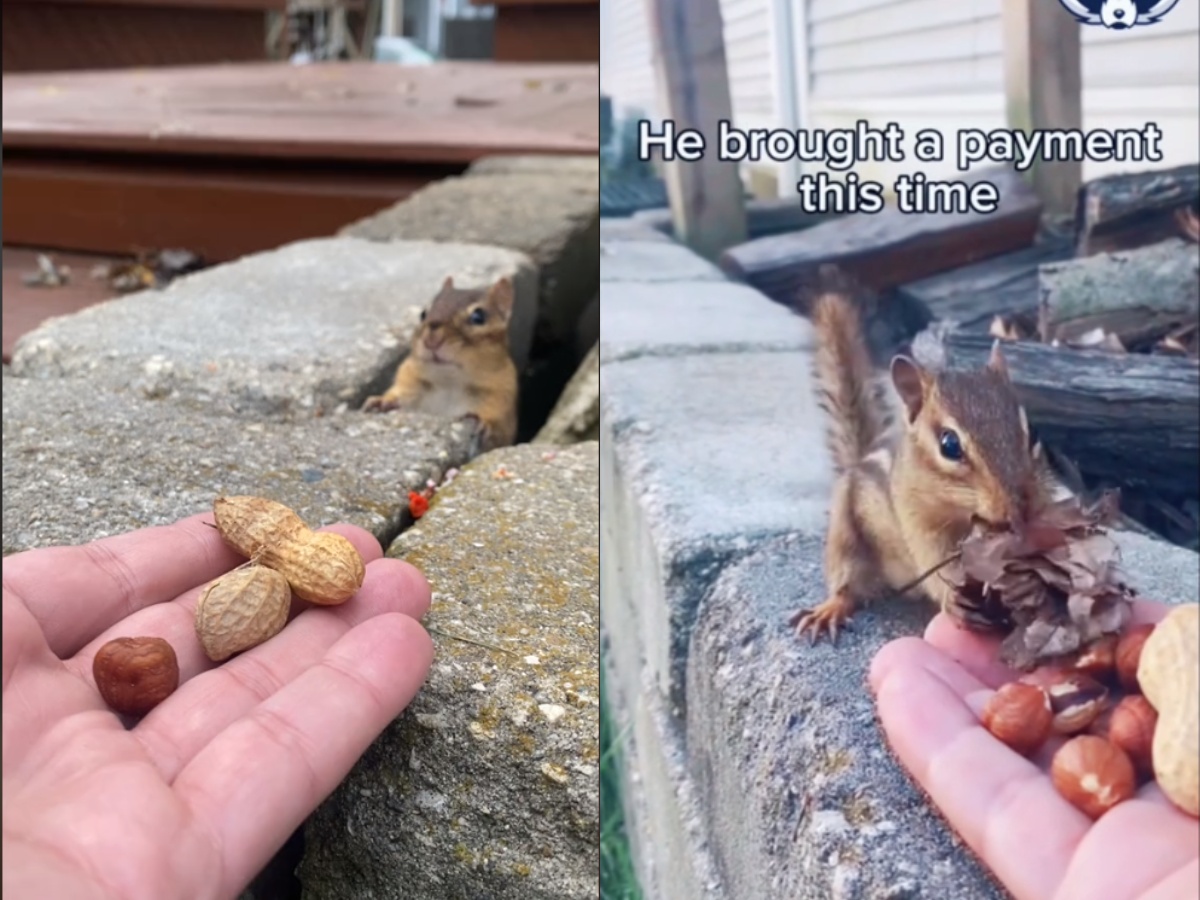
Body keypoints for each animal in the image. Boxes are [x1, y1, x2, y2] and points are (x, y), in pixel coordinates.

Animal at [363, 276, 519, 452]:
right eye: (423, 313)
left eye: (478, 317)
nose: (431, 339)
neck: (449, 382)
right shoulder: (409, 379)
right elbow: (399, 394)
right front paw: (382, 401)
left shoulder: (500, 396)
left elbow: (497, 428)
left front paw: (485, 421)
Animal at [791, 271, 1054, 642]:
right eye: (950, 445)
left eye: (1035, 434)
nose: (1021, 507)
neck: (963, 515)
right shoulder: (920, 525)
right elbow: (934, 566)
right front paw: (953, 600)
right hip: (844, 527)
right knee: (846, 580)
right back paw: (831, 608)